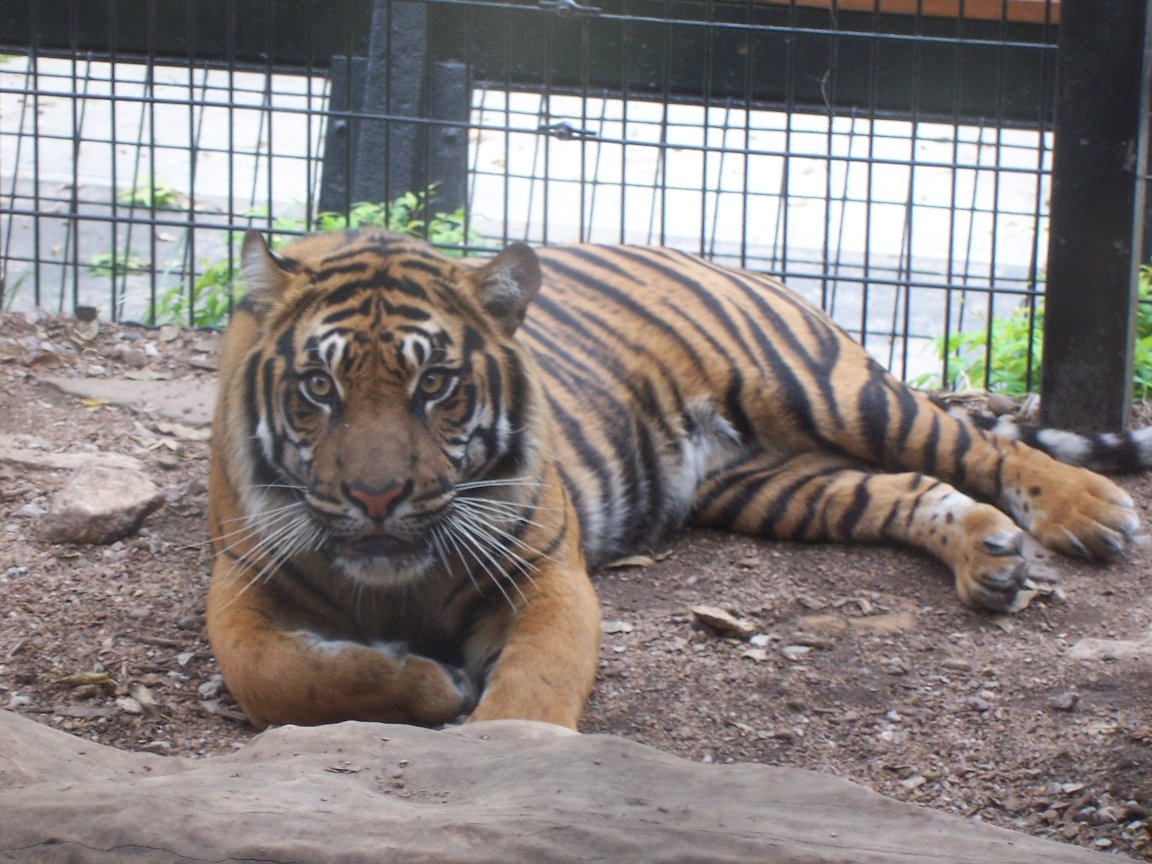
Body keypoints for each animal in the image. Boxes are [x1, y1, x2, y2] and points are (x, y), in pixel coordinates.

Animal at [206, 226, 1149, 731]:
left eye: (433, 384)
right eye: (318, 388)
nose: (375, 499)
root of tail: (716, 256)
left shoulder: (546, 575)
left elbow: (534, 686)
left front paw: (504, 747)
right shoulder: (241, 583)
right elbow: (279, 675)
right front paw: (430, 684)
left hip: (830, 390)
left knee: (971, 442)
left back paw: (1090, 511)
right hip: (775, 485)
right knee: (905, 487)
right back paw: (989, 555)